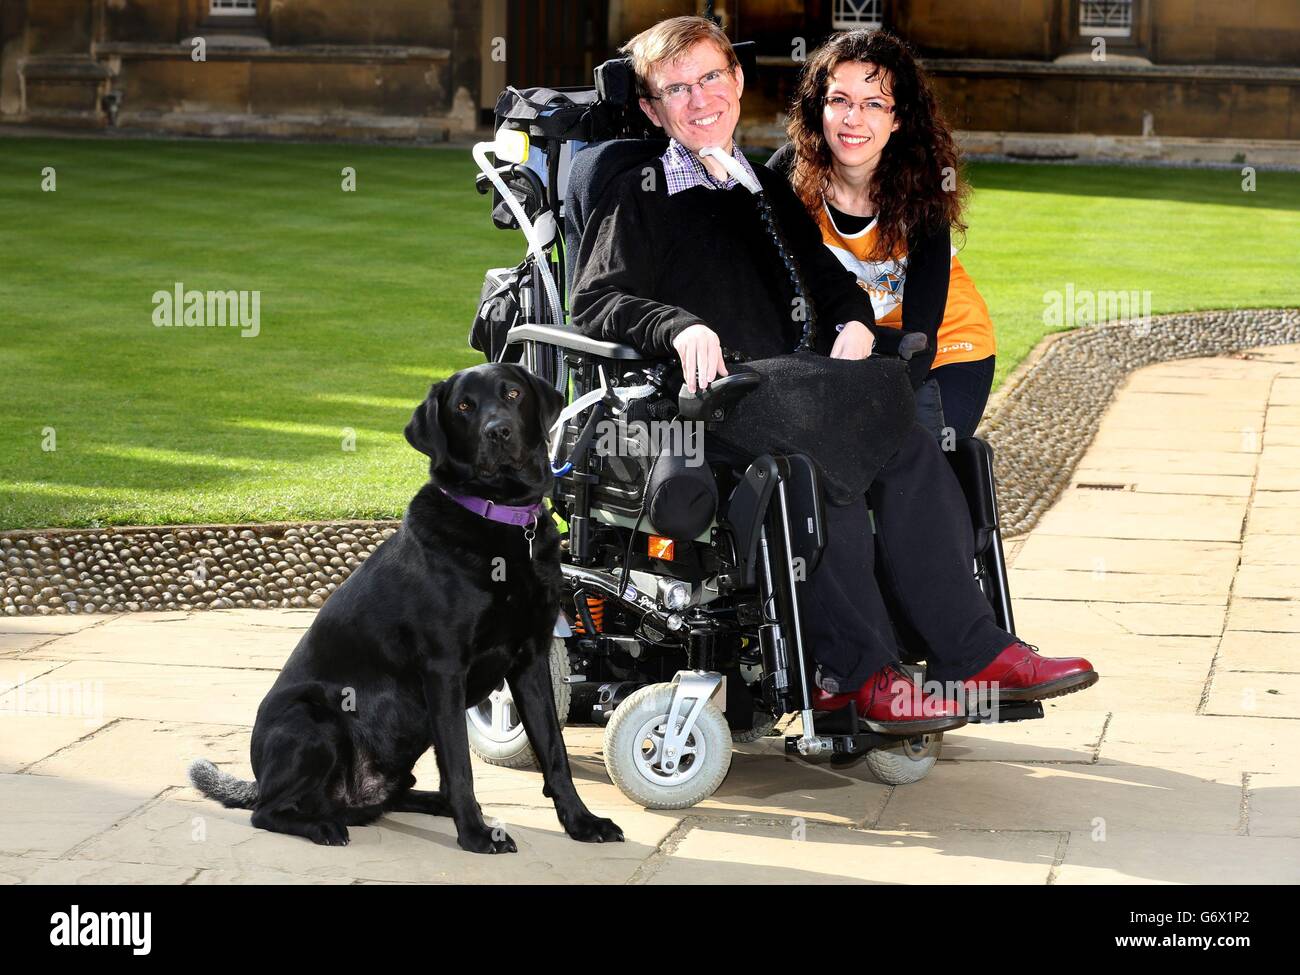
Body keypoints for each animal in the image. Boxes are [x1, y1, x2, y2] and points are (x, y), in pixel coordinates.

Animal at [187, 364, 624, 852]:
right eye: (464, 405)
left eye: (513, 393)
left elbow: (554, 753)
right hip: (314, 720)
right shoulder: (444, 668)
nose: (498, 431)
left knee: (396, 795)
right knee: (267, 812)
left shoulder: (531, 661)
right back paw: (323, 827)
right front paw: (474, 835)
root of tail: (258, 779)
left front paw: (582, 822)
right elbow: (461, 764)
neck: (500, 517)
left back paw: (431, 804)